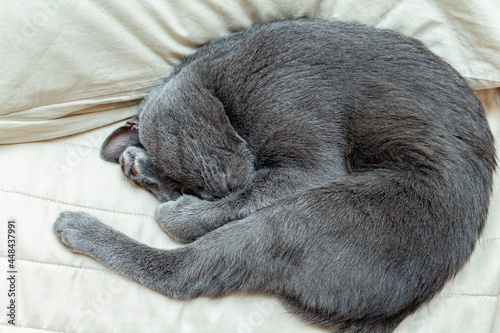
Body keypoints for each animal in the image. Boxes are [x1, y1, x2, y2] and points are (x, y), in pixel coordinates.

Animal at [53, 19, 496, 330]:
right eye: (179, 185)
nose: (207, 193)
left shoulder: (308, 158)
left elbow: (244, 197)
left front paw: (174, 205)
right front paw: (142, 171)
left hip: (311, 211)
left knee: (182, 273)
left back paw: (77, 225)